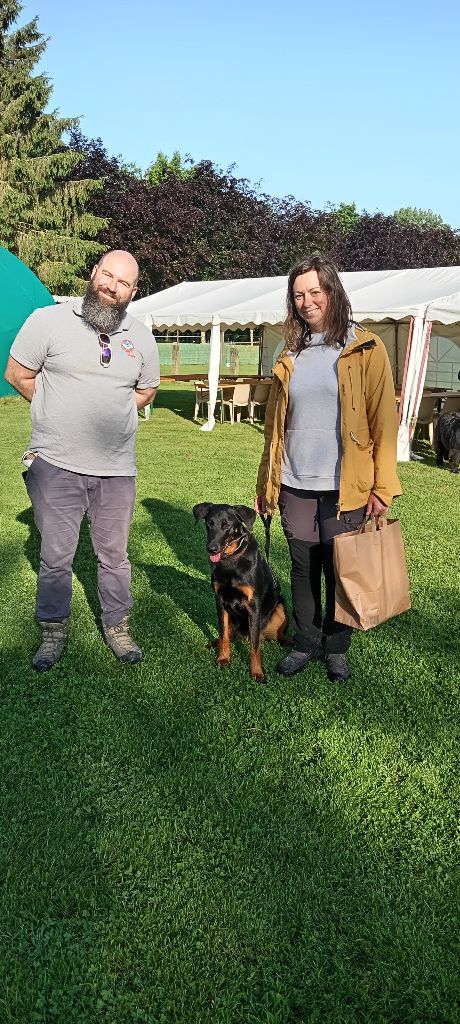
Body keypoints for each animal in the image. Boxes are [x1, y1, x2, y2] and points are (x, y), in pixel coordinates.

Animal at [190, 501, 286, 684]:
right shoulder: (220, 601)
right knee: (229, 634)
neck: (231, 561)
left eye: (227, 525)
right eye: (209, 523)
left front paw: (257, 672)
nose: (211, 548)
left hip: (280, 607)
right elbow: (224, 635)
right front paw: (223, 658)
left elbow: (254, 647)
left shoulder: (253, 606)